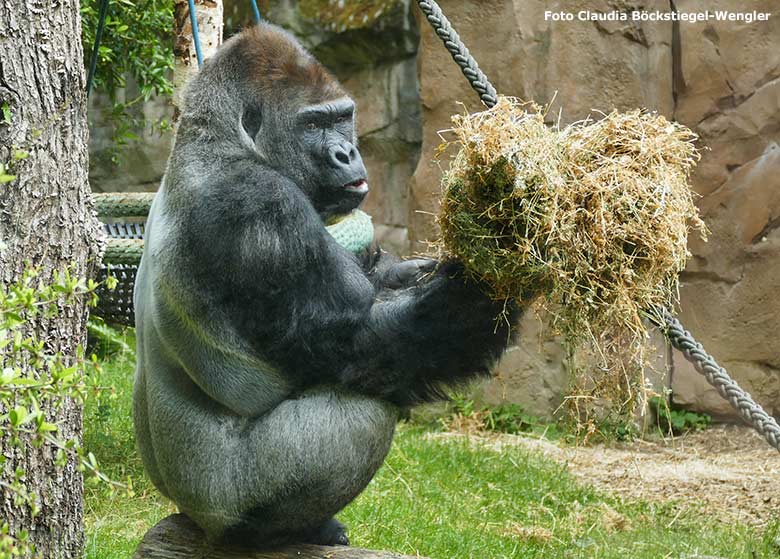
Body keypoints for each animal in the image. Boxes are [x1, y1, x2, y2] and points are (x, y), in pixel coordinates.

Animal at [134, 24, 524, 548]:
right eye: (314, 124)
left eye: (343, 118)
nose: (348, 153)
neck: (214, 140)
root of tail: (187, 510)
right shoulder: (261, 206)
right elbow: (361, 340)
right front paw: (504, 264)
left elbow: (376, 282)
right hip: (228, 506)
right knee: (365, 412)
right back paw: (281, 532)